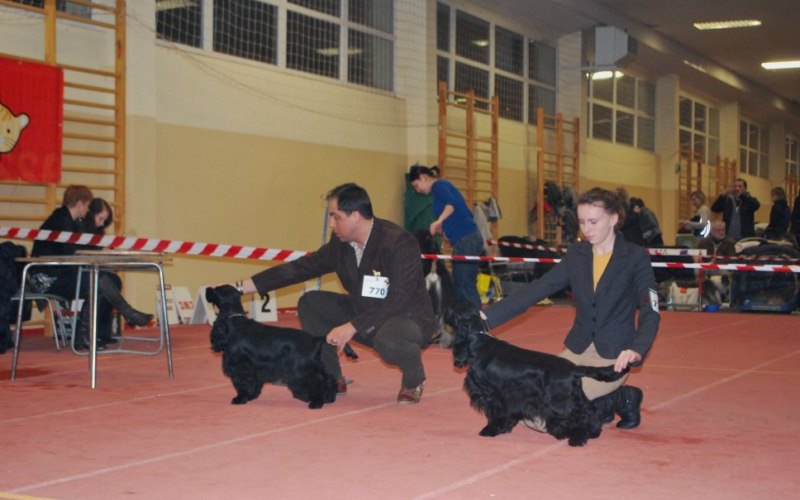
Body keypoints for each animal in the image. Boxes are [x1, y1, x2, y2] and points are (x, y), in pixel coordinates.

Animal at [206, 285, 338, 409]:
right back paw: (329, 398)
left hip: (301, 369)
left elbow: (242, 383)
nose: (207, 289)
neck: (233, 320)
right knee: (328, 378)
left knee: (317, 382)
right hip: (314, 365)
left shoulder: (240, 366)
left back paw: (316, 403)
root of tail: (315, 339)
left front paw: (240, 399)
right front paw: (251, 396)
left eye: (215, 289)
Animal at [446, 302, 629, 446]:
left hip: (559, 403)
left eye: (453, 310)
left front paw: (490, 430)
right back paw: (593, 432)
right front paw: (505, 427)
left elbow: (495, 414)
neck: (478, 341)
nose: (445, 310)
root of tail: (574, 368)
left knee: (580, 416)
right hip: (574, 397)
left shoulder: (491, 394)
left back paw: (577, 438)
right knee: (590, 411)